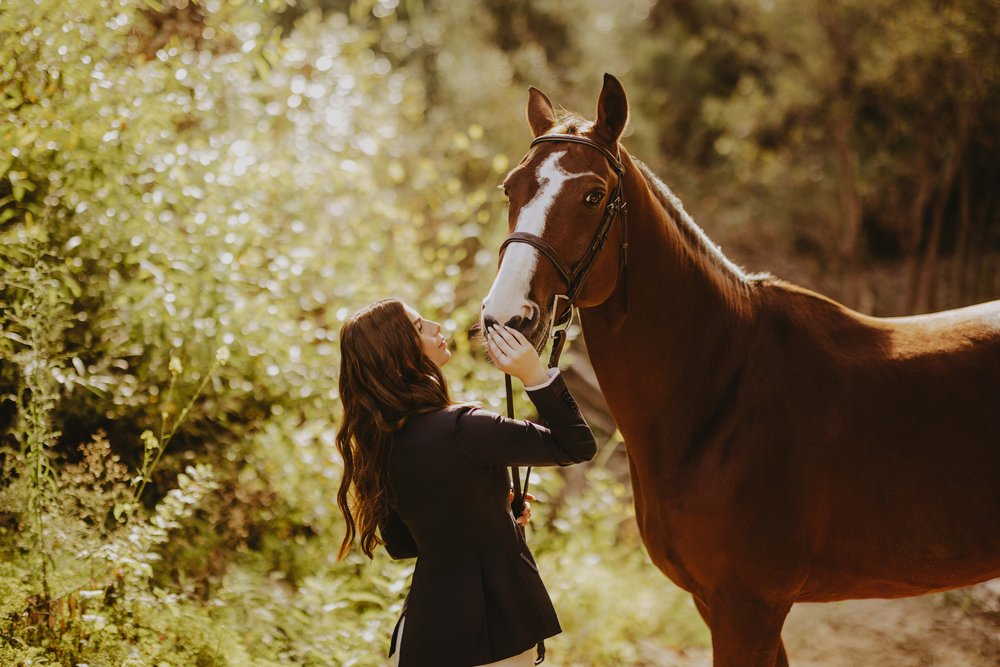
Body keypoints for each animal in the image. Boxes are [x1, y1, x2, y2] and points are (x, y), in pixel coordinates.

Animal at [480, 75, 996, 664]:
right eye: (511, 187)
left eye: (593, 194)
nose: (506, 317)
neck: (722, 390)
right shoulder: (720, 604)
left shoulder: (748, 608)